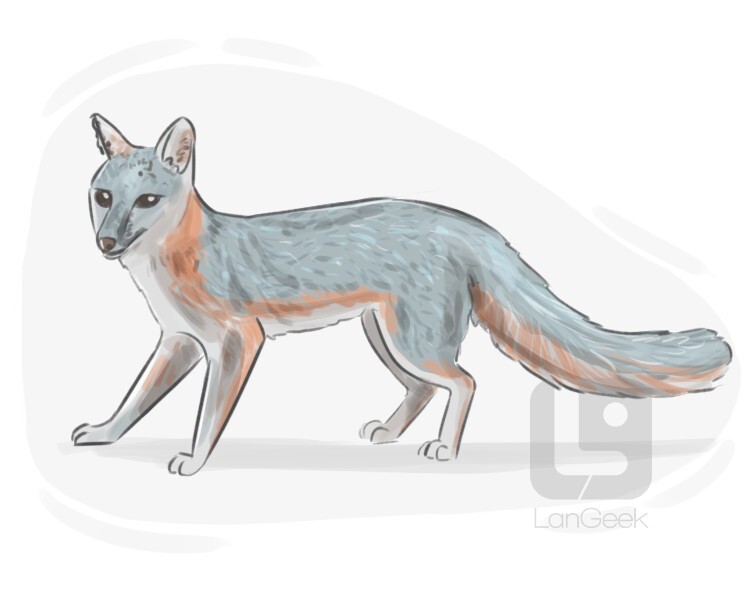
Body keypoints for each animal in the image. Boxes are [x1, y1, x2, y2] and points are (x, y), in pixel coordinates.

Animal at [72, 114, 732, 475]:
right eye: (104, 197)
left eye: (147, 201)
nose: (106, 243)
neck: (175, 262)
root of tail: (465, 222)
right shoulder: (179, 342)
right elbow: (135, 400)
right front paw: (104, 433)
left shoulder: (238, 342)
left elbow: (208, 416)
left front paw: (195, 461)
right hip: (386, 338)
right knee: (425, 388)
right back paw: (392, 434)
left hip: (412, 343)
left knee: (464, 382)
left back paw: (444, 448)